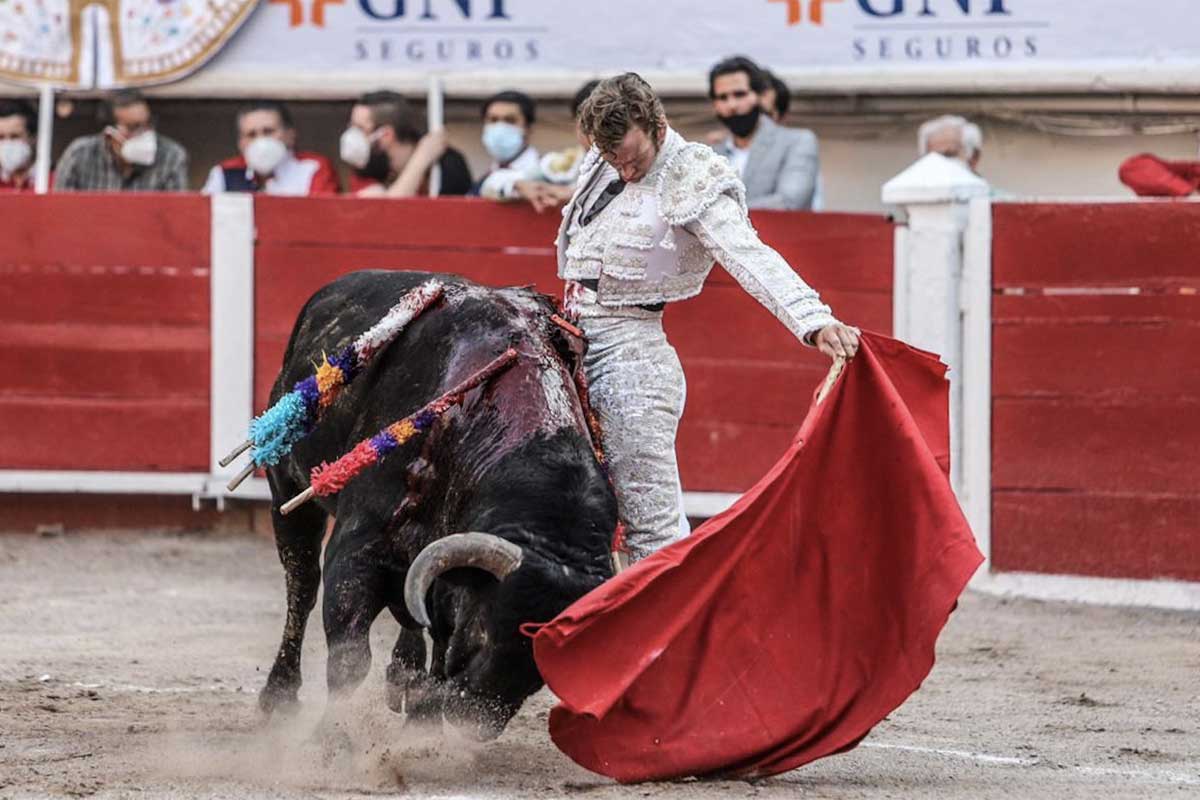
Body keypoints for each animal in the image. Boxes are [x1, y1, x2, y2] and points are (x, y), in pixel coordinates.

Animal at [260, 272, 619, 743]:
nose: (477, 722)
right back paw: (279, 696)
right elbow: (350, 657)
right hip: (288, 489)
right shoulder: (356, 551)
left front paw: (422, 724)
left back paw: (403, 678)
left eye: (546, 666)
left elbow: (438, 635)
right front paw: (333, 740)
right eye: (487, 629)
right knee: (302, 586)